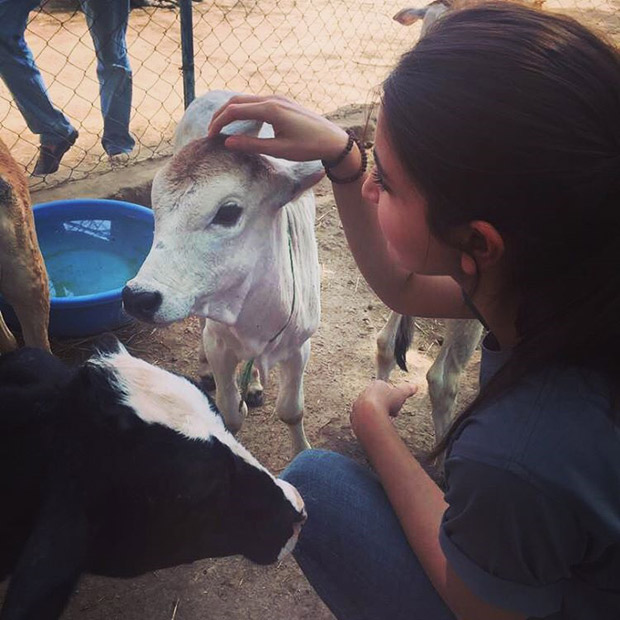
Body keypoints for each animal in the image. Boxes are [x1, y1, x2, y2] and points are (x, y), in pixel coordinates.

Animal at [122, 89, 324, 452]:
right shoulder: (219, 344)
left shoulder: (300, 347)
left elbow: (291, 410)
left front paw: (303, 450)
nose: (137, 297)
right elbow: (230, 414)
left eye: (228, 212)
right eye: (156, 208)